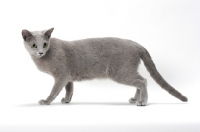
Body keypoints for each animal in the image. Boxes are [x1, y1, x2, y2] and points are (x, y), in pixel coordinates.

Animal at [21, 28, 188, 106]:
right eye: (34, 45)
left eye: (45, 44)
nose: (40, 52)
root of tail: (137, 44)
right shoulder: (68, 76)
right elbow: (70, 89)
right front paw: (67, 100)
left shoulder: (61, 75)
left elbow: (54, 90)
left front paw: (46, 101)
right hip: (128, 70)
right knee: (140, 81)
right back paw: (135, 98)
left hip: (121, 72)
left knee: (143, 81)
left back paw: (142, 101)